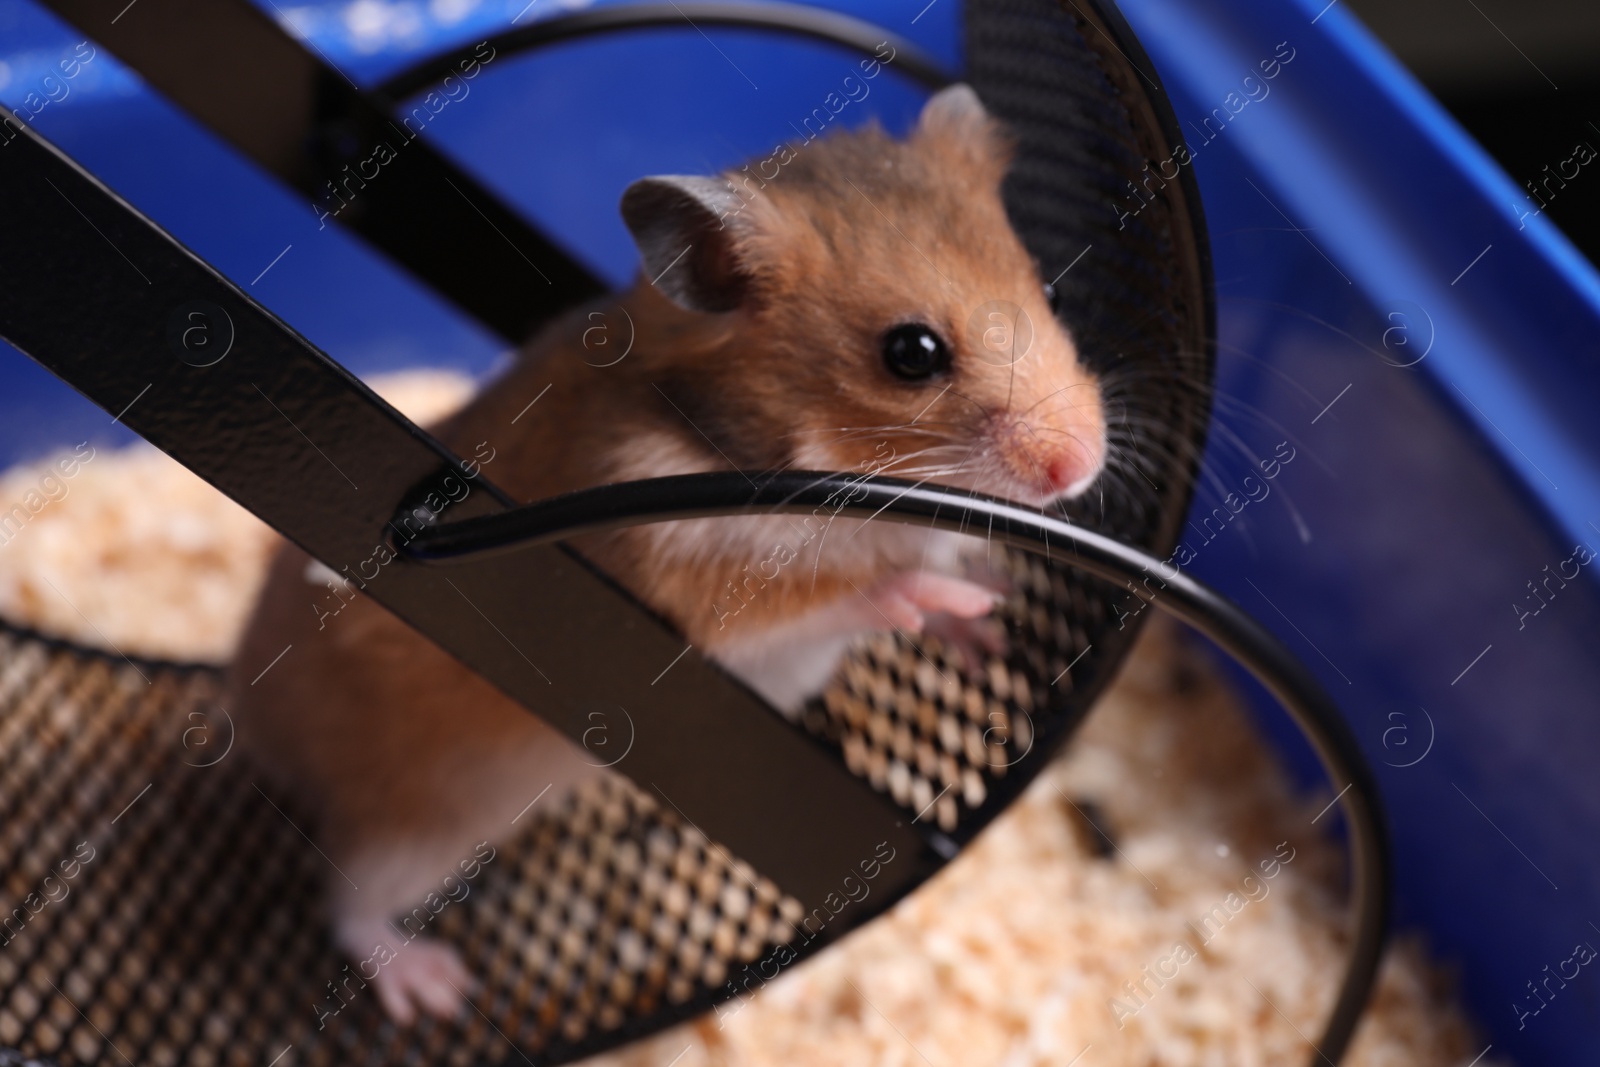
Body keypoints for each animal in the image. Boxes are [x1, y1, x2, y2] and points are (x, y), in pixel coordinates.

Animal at [228, 87, 1100, 1030]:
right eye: (911, 354)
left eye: (1052, 293)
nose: (1082, 466)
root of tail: (240, 704)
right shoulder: (711, 597)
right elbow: (844, 592)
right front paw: (941, 595)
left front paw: (991, 623)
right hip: (417, 820)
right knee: (350, 906)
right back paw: (434, 989)